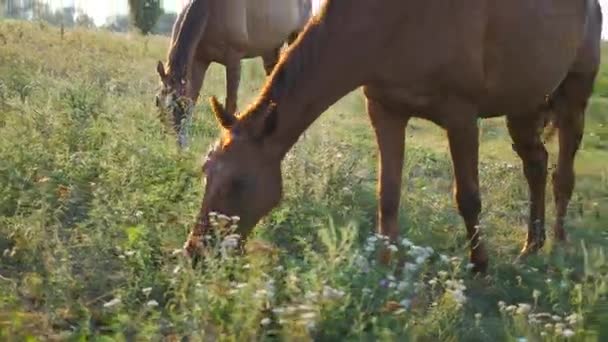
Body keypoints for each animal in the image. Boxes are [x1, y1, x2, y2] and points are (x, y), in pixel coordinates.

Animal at [152, 0, 314, 148]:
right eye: (157, 101)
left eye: (177, 105)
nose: (174, 145)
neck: (211, 9)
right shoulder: (200, 61)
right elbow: (192, 100)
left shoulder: (234, 60)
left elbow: (230, 105)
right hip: (270, 51)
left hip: (296, 36)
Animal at [183, 0, 600, 272]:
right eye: (206, 173)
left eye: (239, 183)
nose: (194, 253)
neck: (396, 20)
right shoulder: (385, 110)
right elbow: (388, 195)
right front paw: (385, 267)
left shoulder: (461, 117)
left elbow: (468, 198)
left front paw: (480, 265)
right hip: (523, 104)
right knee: (536, 166)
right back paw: (532, 244)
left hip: (574, 95)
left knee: (562, 175)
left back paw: (557, 244)